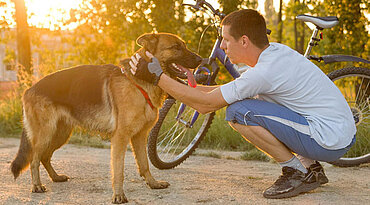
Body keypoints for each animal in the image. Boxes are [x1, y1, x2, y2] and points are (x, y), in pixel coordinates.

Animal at [10, 32, 202, 203]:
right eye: (176, 47)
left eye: (184, 45)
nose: (201, 60)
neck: (139, 81)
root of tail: (29, 89)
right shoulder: (120, 138)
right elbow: (119, 170)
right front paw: (118, 195)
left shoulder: (140, 136)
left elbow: (144, 164)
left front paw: (152, 183)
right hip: (46, 134)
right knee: (34, 159)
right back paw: (36, 185)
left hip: (60, 134)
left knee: (45, 157)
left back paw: (56, 177)